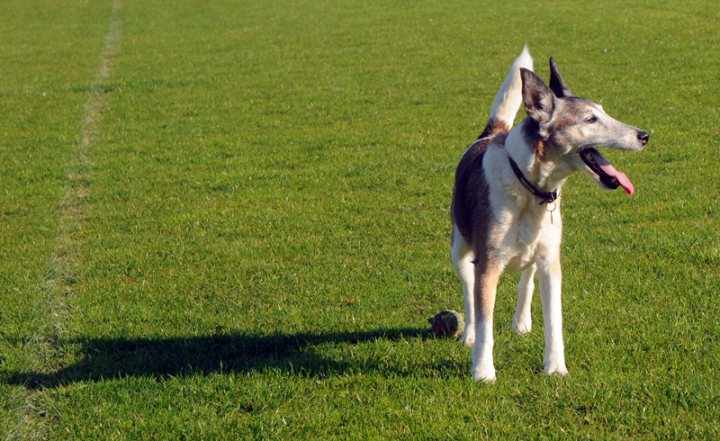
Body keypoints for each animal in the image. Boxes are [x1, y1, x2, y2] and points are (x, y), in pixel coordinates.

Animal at [450, 46, 648, 380]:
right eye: (591, 119)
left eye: (603, 112)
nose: (644, 135)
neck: (530, 188)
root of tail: (491, 133)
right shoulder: (487, 264)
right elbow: (485, 319)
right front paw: (483, 372)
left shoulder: (550, 262)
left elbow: (555, 319)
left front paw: (555, 367)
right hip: (459, 251)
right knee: (469, 294)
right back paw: (469, 335)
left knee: (526, 279)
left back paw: (521, 322)